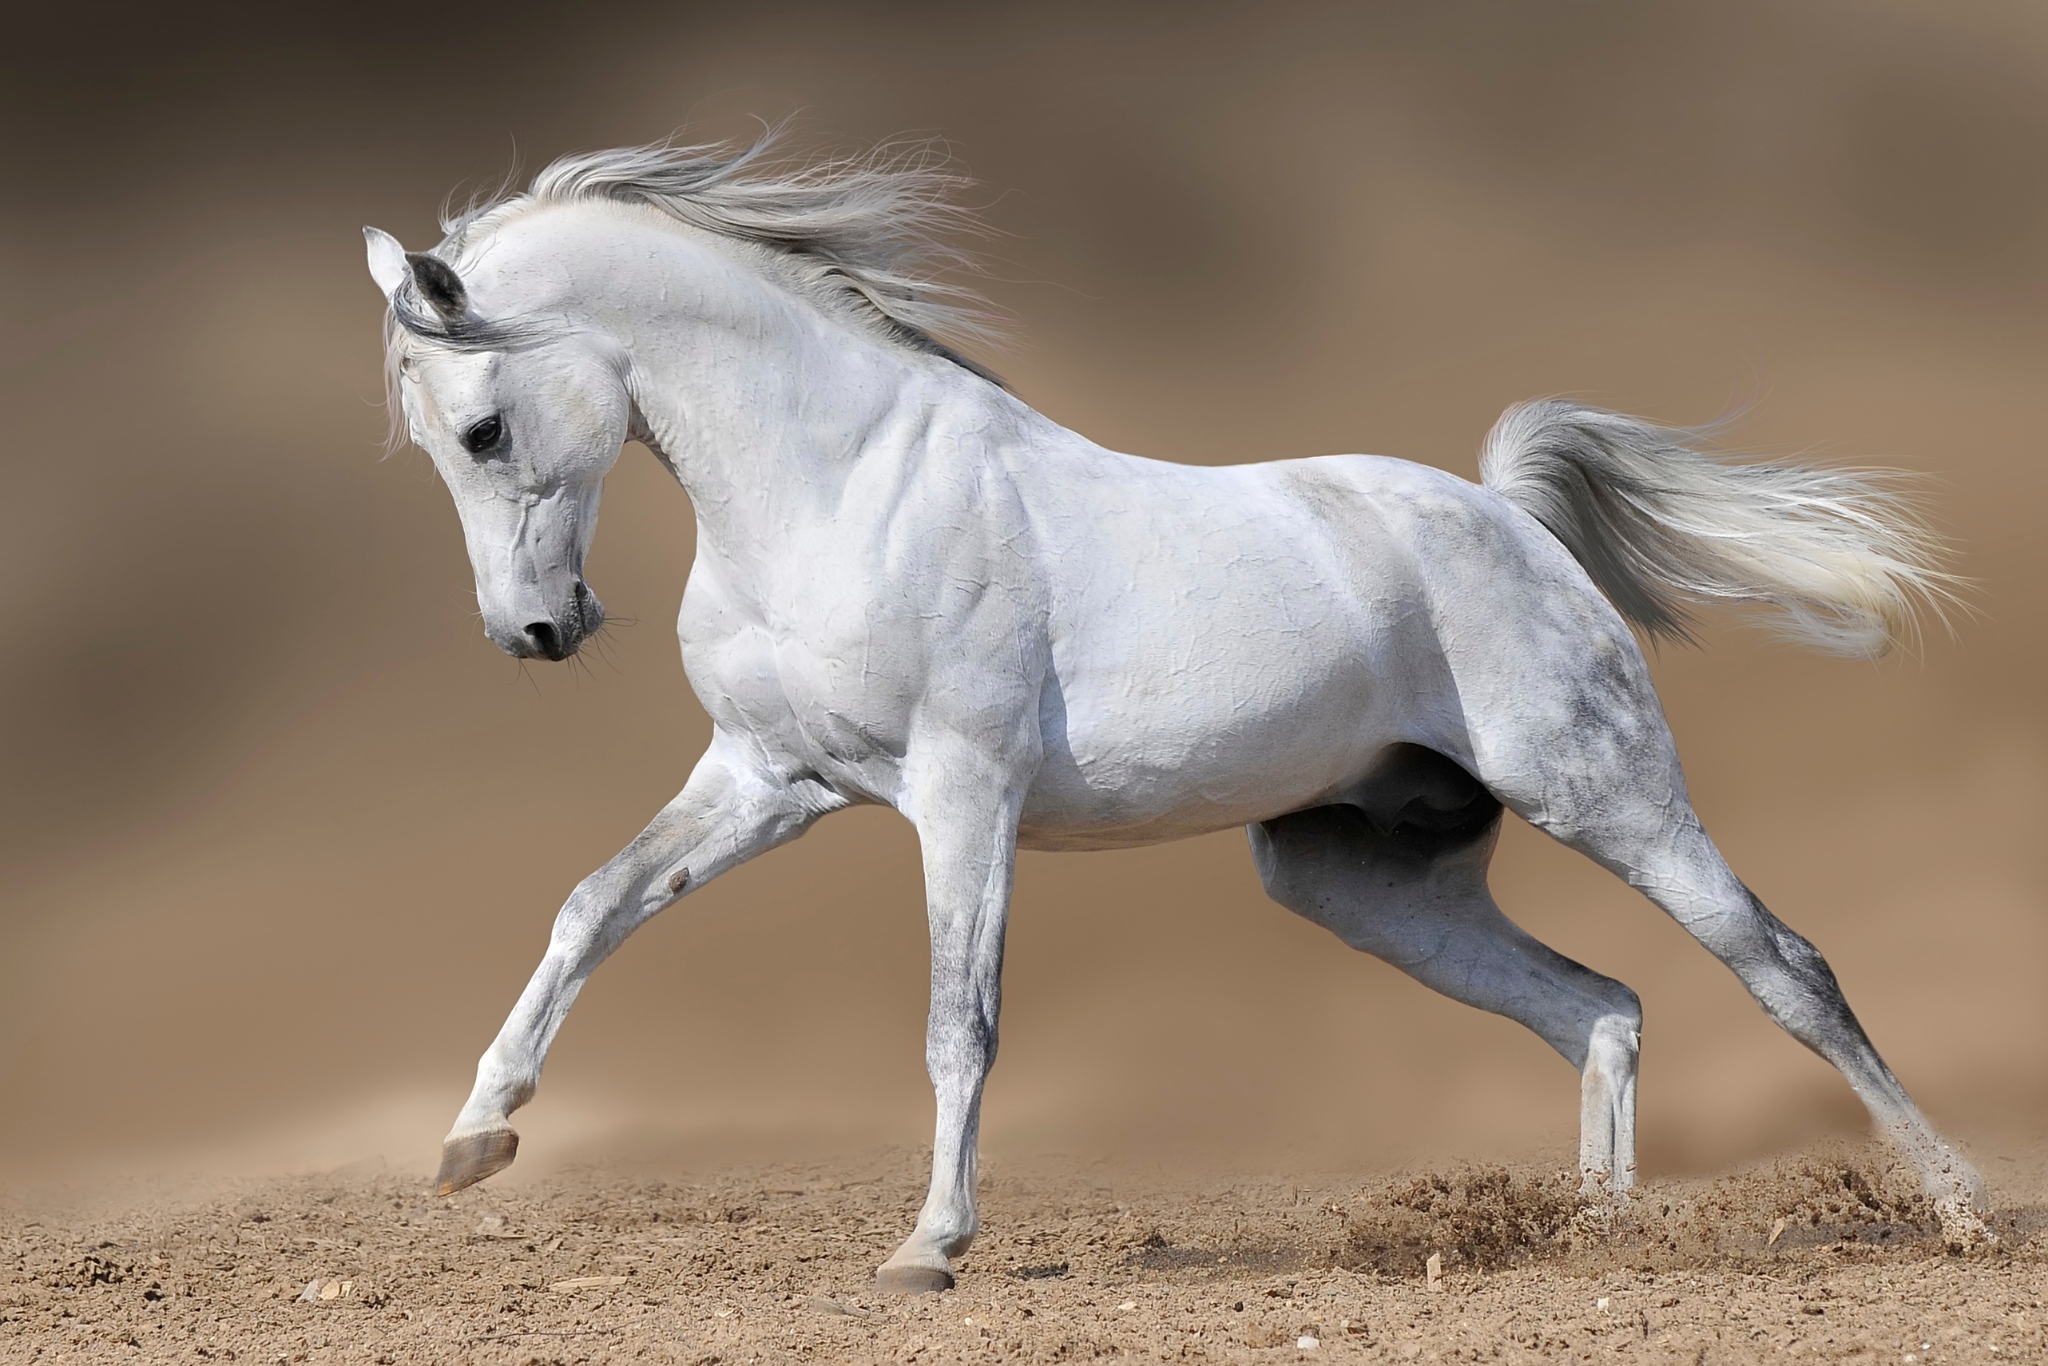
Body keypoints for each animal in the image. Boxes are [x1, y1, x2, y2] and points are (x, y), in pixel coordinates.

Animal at [362, 131, 1986, 1289]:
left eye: (482, 428)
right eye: (431, 445)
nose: (536, 632)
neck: (838, 485)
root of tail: (1509, 516)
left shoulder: (962, 792)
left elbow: (960, 1020)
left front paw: (928, 1248)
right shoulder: (769, 778)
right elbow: (593, 905)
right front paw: (473, 1139)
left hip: (1608, 793)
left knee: (1785, 970)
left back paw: (1961, 1209)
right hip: (1359, 877)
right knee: (1599, 1006)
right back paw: (1591, 1239)